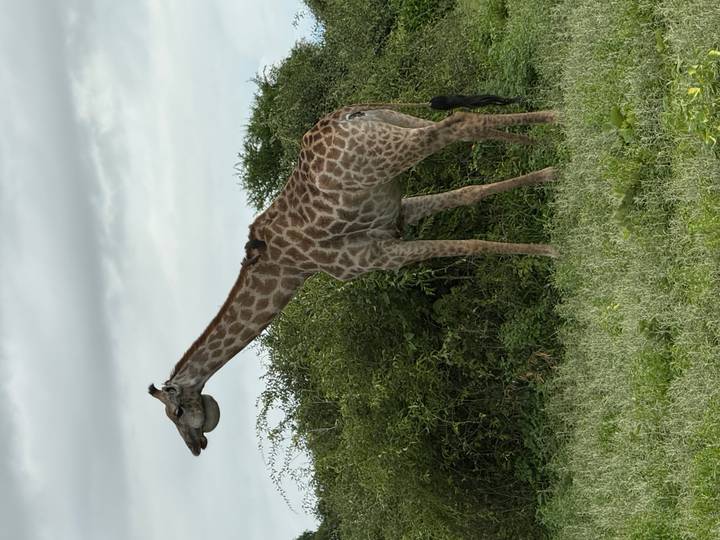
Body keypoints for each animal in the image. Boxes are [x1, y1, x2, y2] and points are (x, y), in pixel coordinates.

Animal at [149, 95, 559, 456]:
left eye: (177, 412)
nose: (196, 447)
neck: (291, 267)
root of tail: (346, 114)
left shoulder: (375, 257)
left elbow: (471, 244)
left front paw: (551, 251)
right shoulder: (399, 217)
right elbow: (469, 193)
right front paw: (547, 173)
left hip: (388, 152)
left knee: (459, 122)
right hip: (397, 126)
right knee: (465, 121)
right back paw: (549, 127)